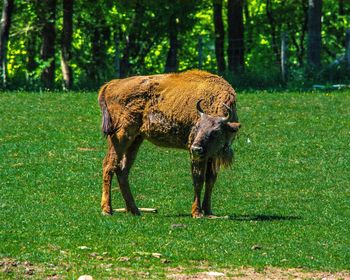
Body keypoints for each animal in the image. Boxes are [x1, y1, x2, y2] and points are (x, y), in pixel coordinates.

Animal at [98, 69, 241, 218]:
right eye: (196, 127)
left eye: (216, 131)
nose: (196, 148)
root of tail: (111, 84)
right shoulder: (198, 157)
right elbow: (198, 179)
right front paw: (197, 212)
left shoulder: (212, 156)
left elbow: (210, 180)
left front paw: (208, 211)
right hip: (121, 137)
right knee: (109, 166)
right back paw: (107, 210)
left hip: (136, 140)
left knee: (122, 170)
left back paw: (135, 210)